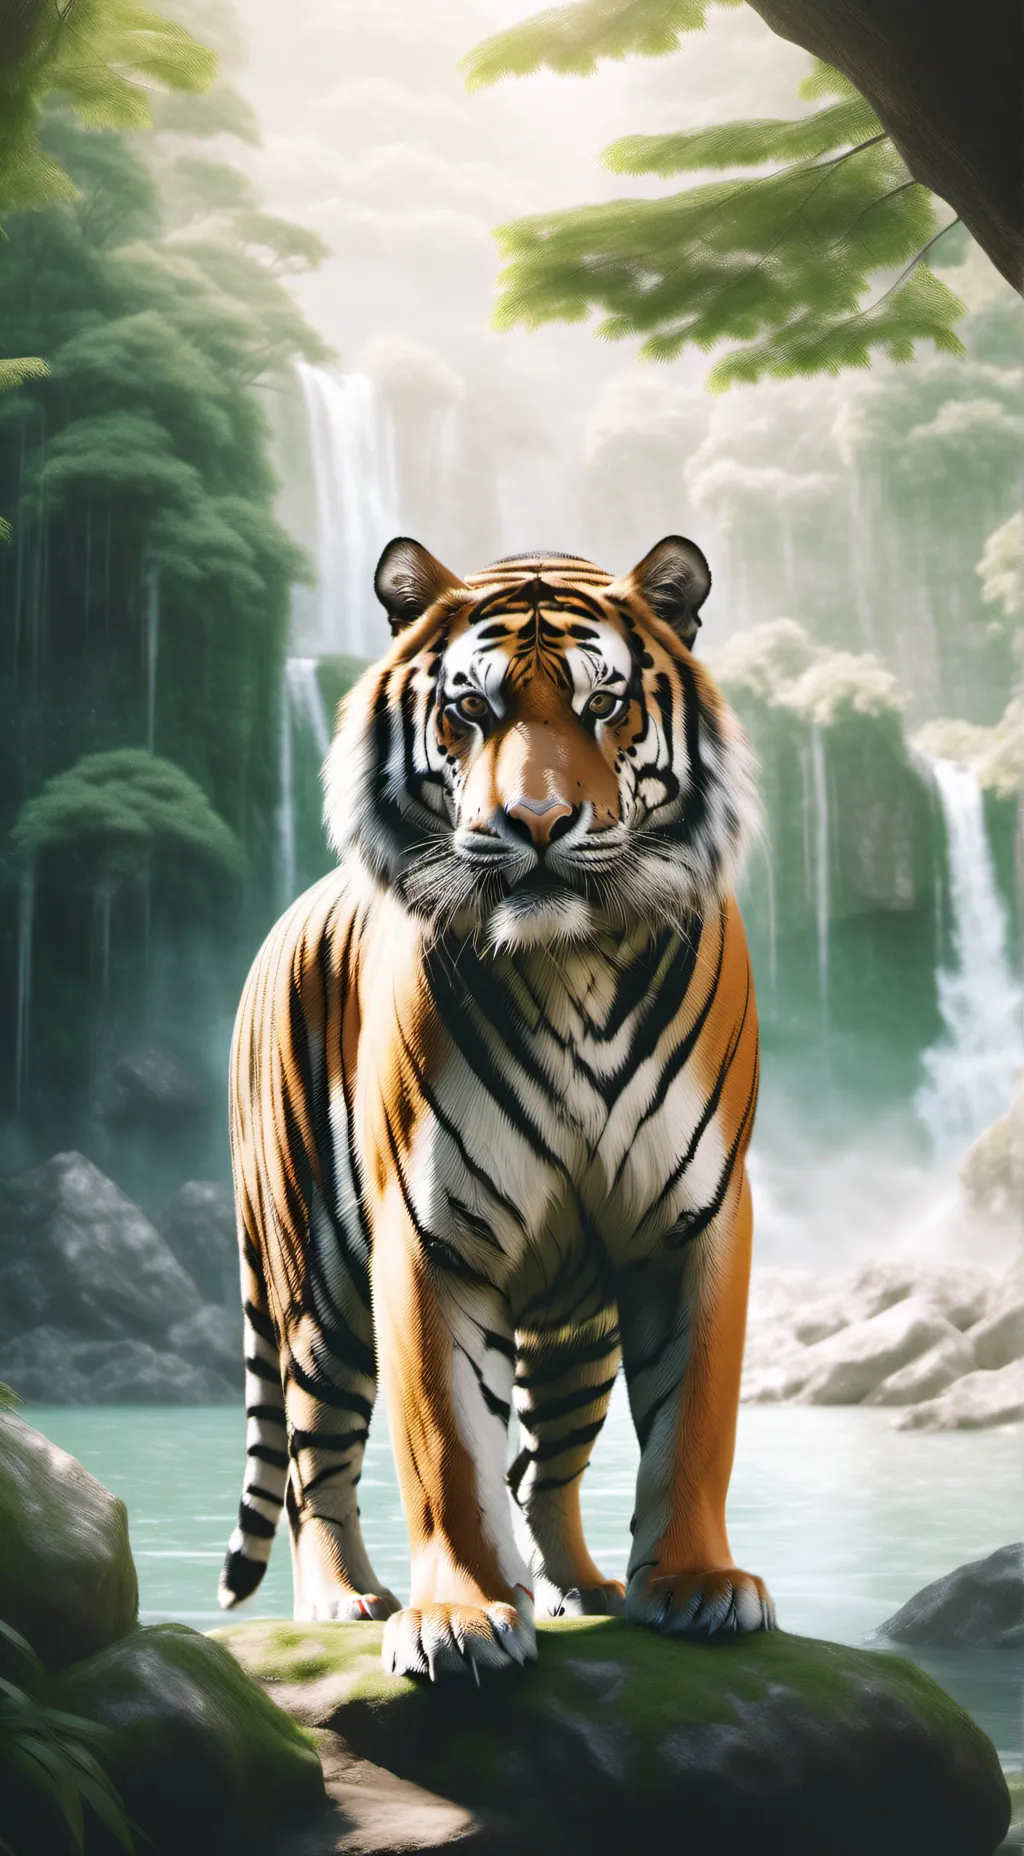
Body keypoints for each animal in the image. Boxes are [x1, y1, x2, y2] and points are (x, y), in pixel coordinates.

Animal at [218, 534, 775, 1682]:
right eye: (469, 710)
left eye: (605, 704)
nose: (539, 823)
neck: (572, 962)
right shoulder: (430, 1233)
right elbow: (446, 1446)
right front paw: (462, 1614)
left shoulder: (693, 1218)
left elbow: (693, 1422)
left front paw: (695, 1583)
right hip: (315, 1288)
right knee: (311, 1460)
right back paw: (344, 1598)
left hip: (576, 1330)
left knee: (545, 1466)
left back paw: (581, 1586)